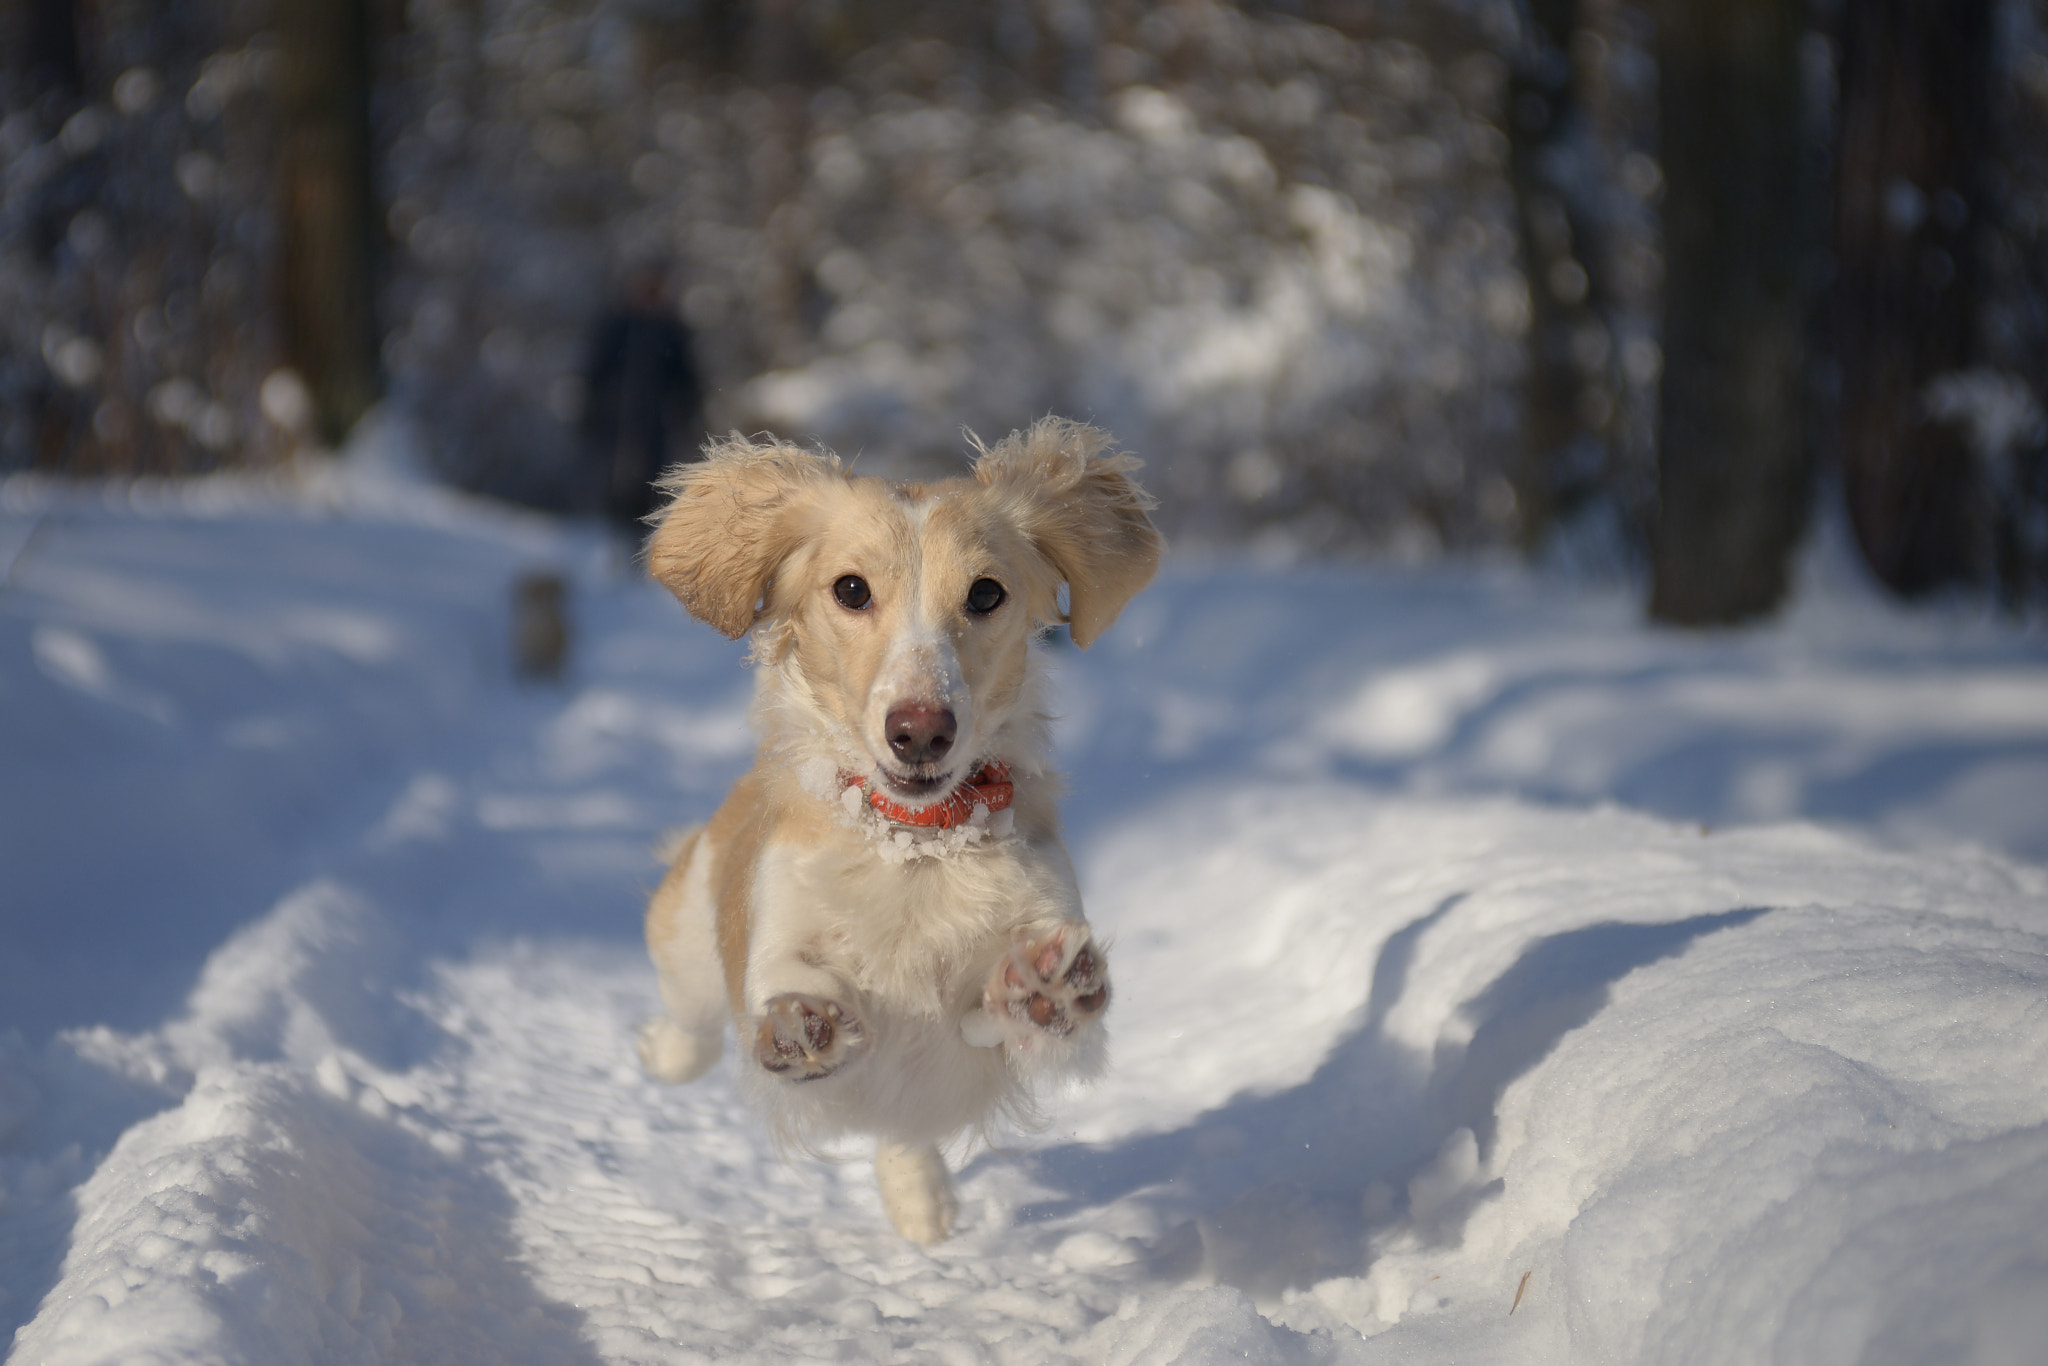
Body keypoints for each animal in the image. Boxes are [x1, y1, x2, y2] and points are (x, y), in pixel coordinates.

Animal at [630, 421, 1163, 1245]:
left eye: (986, 593)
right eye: (851, 589)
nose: (920, 732)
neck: (915, 844)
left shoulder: (1028, 943)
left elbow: (1009, 1015)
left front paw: (1044, 992)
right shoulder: (780, 930)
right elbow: (788, 984)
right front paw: (798, 1027)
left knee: (901, 1134)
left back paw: (924, 1205)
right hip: (689, 929)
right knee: (692, 1027)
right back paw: (663, 1050)